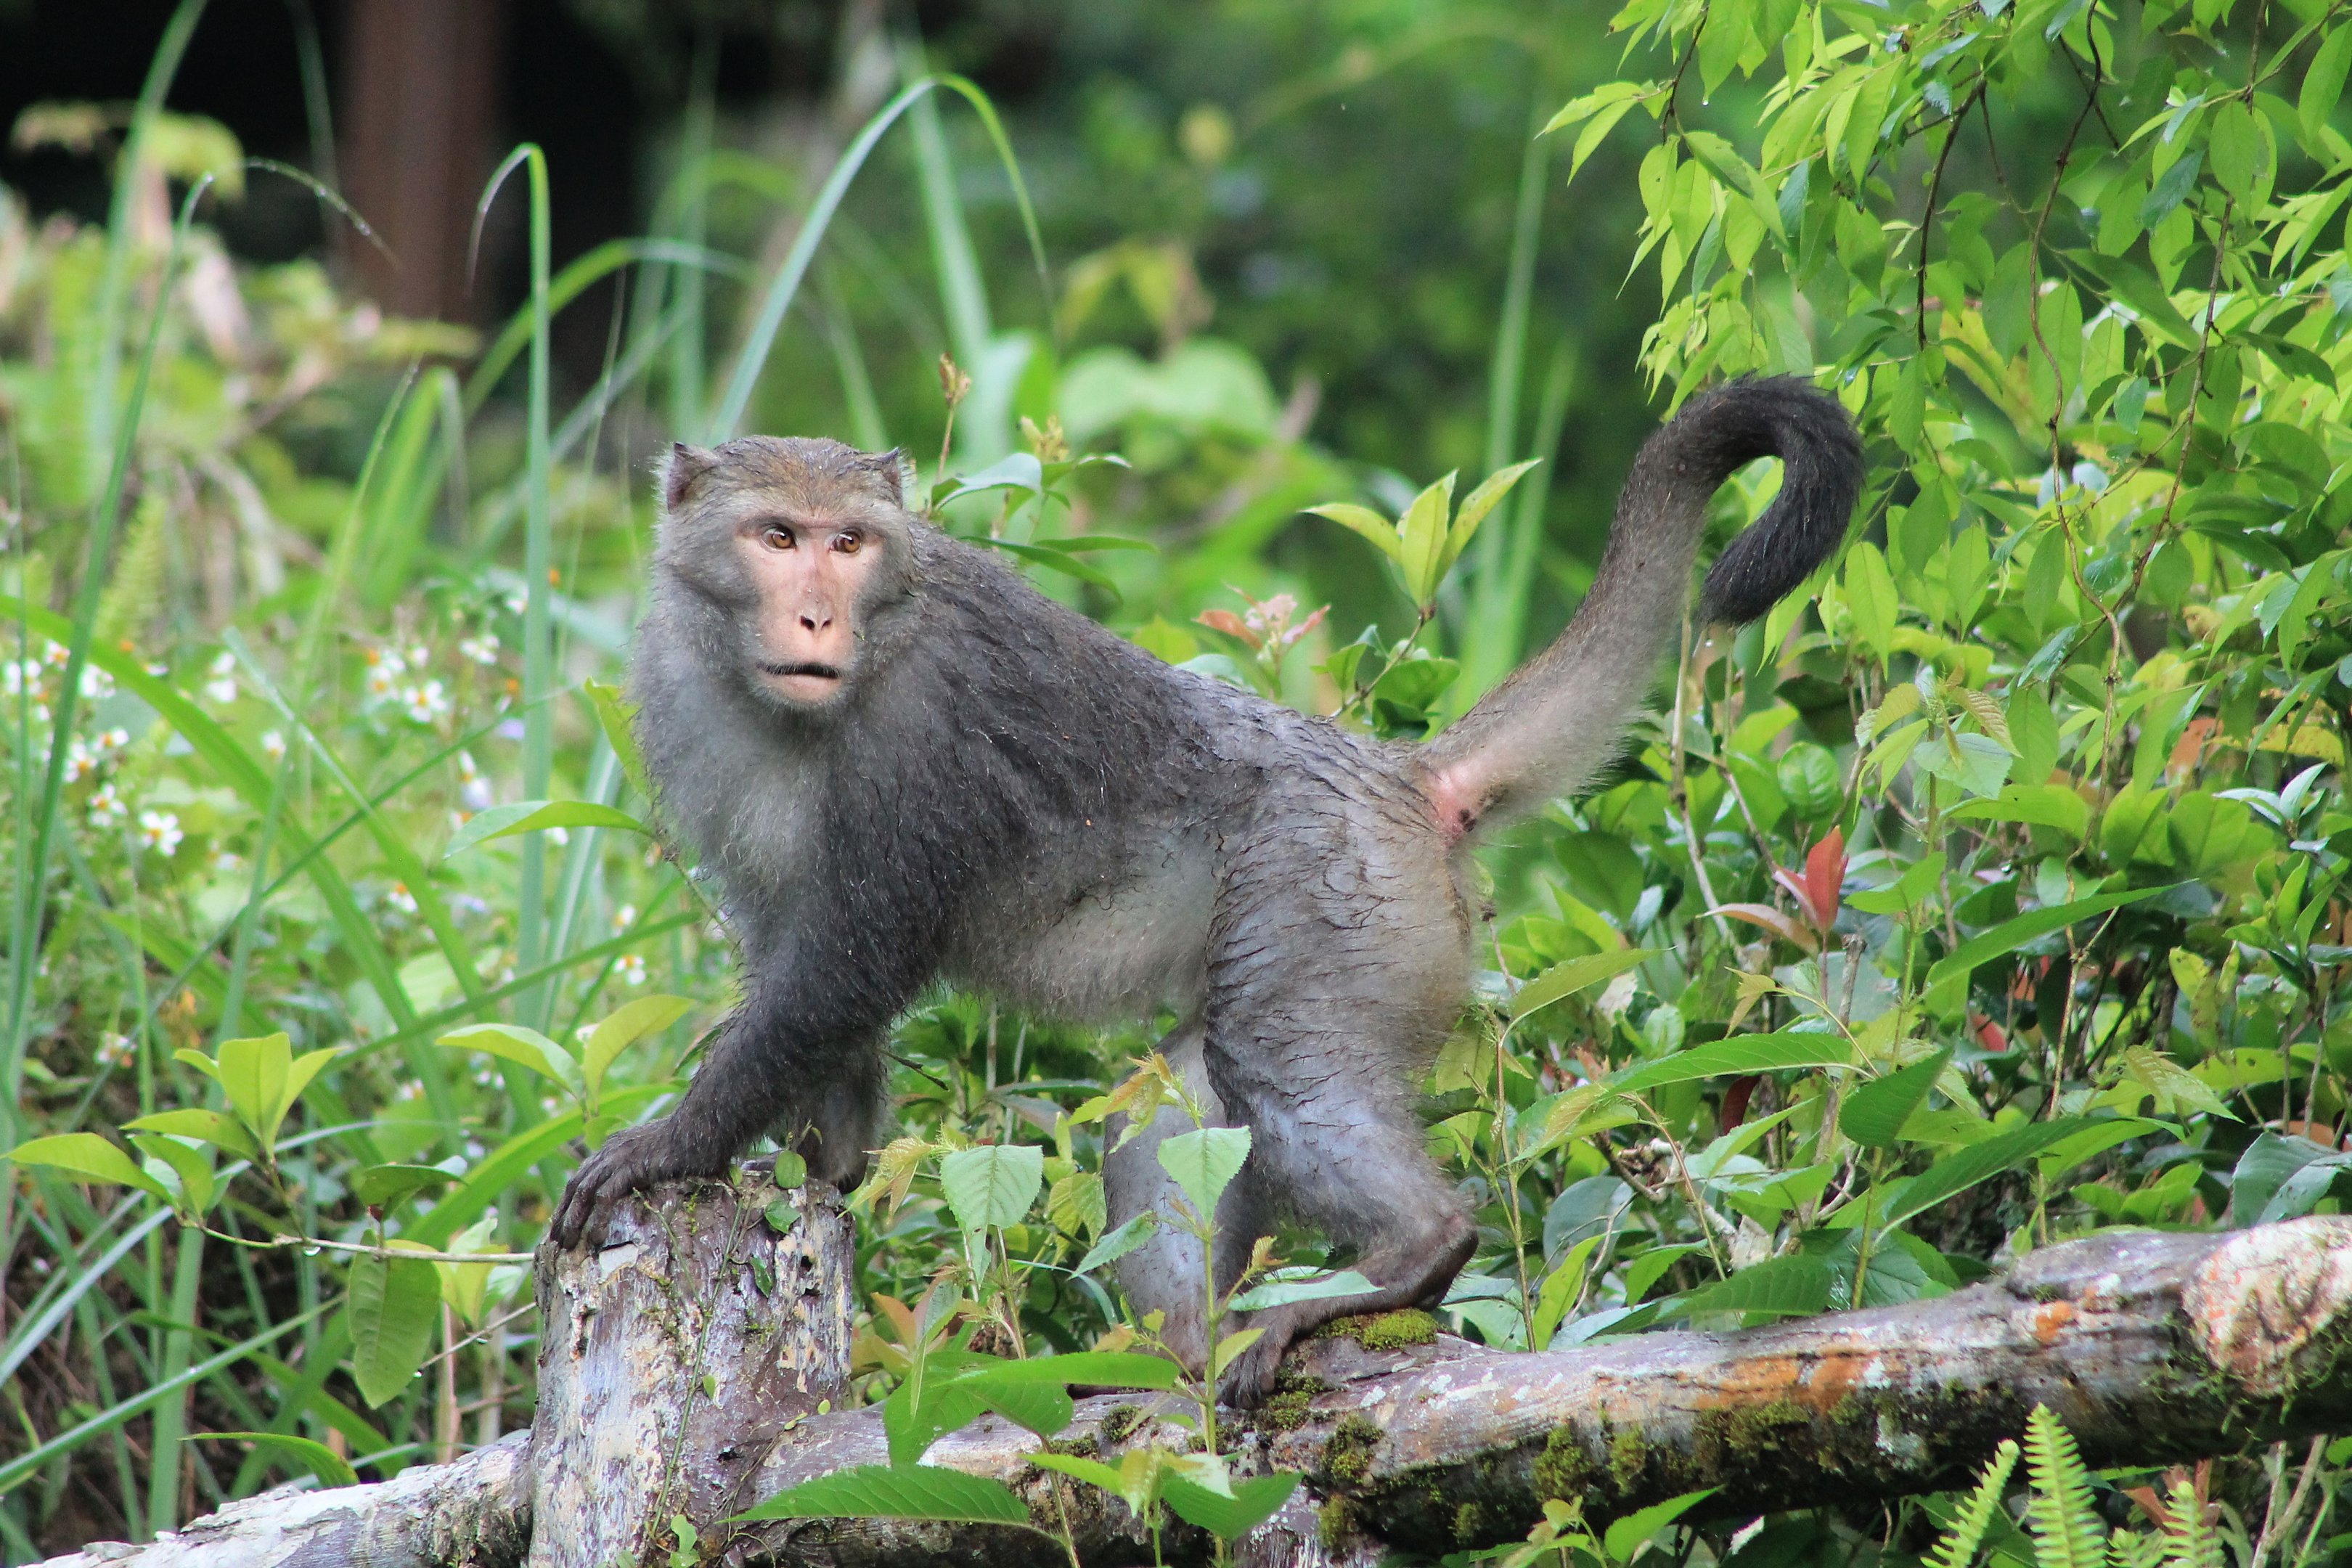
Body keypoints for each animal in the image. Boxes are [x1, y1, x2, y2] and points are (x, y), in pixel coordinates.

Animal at [549, 376, 1862, 1404]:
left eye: (847, 543)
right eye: (777, 538)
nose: (817, 612)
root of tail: (1400, 776)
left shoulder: (924, 730)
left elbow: (852, 961)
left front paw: (667, 1146)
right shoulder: (688, 706)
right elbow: (809, 972)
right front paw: (822, 1167)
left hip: (1329, 880)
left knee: (1272, 1051)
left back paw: (1411, 1252)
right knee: (1171, 1103)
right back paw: (1178, 1350)